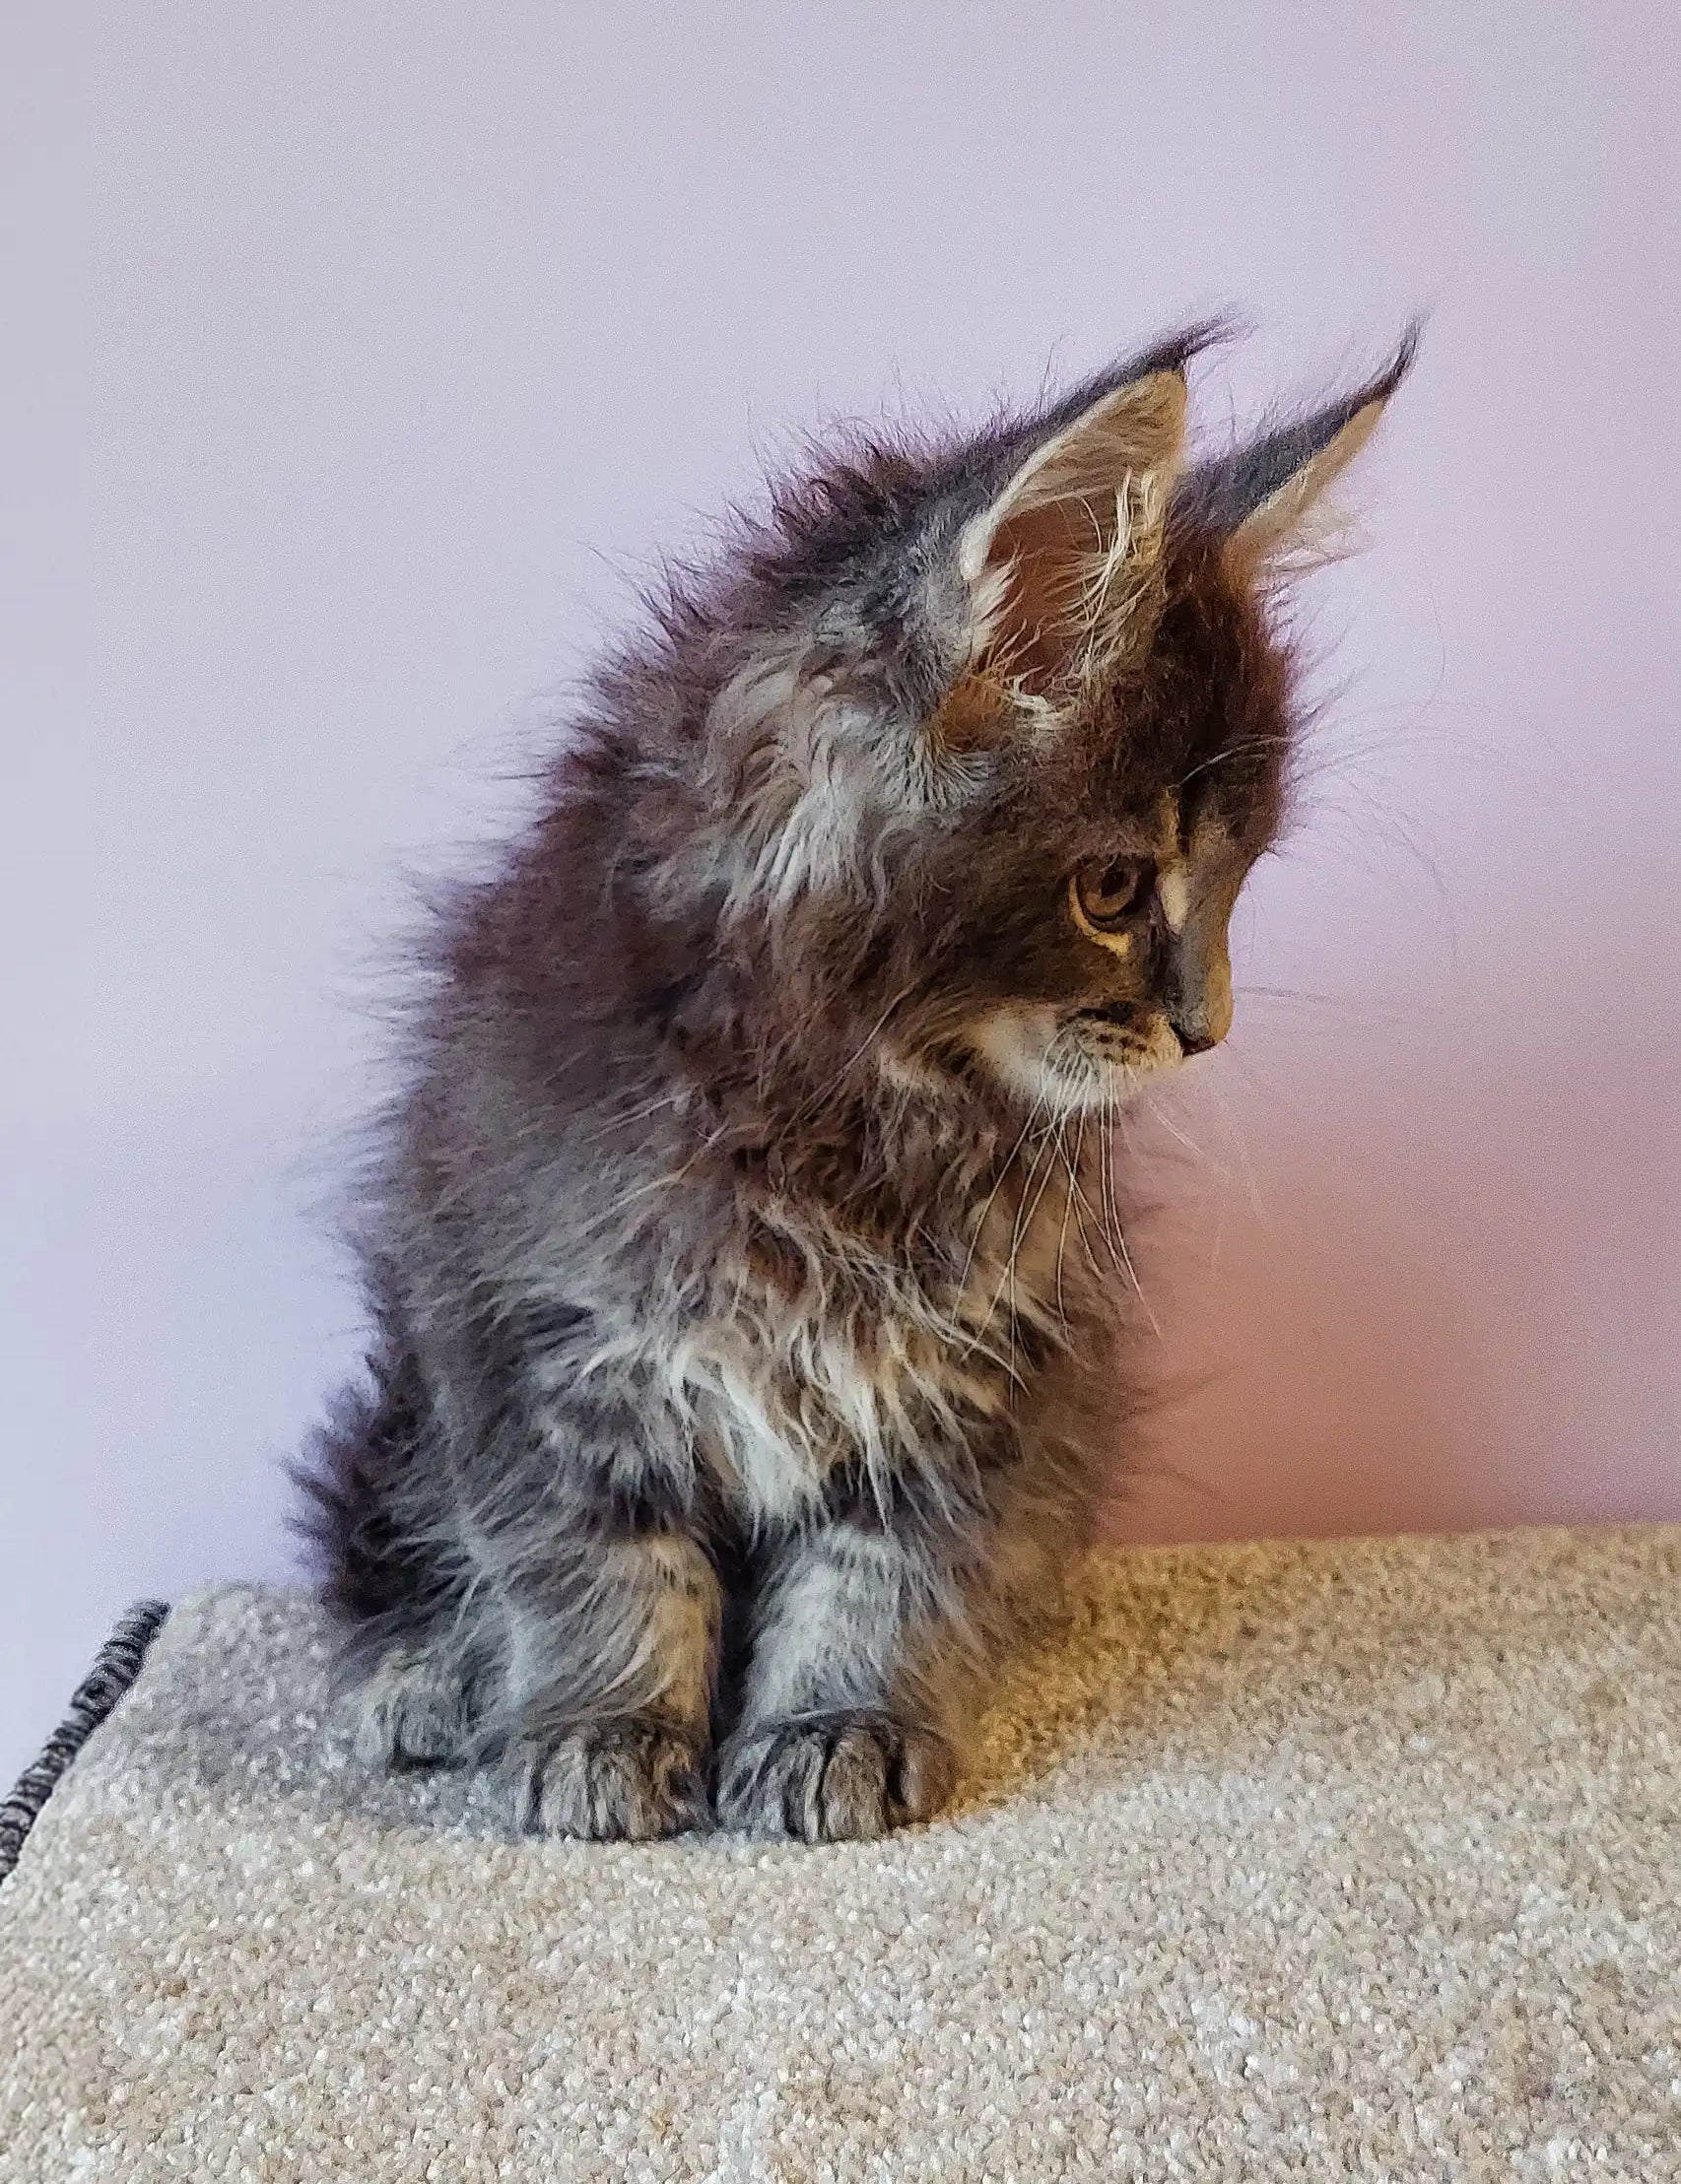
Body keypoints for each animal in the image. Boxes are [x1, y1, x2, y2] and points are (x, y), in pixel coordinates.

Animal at [295, 323, 1405, 1843]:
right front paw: (598, 1732)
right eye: (1114, 890)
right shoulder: (521, 1322)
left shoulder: (988, 1367)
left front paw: (833, 1732)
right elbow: (594, 1561)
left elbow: (886, 1576)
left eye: (1236, 882)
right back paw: (420, 1677)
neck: (847, 1114)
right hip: (397, 1401)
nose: (1207, 1028)